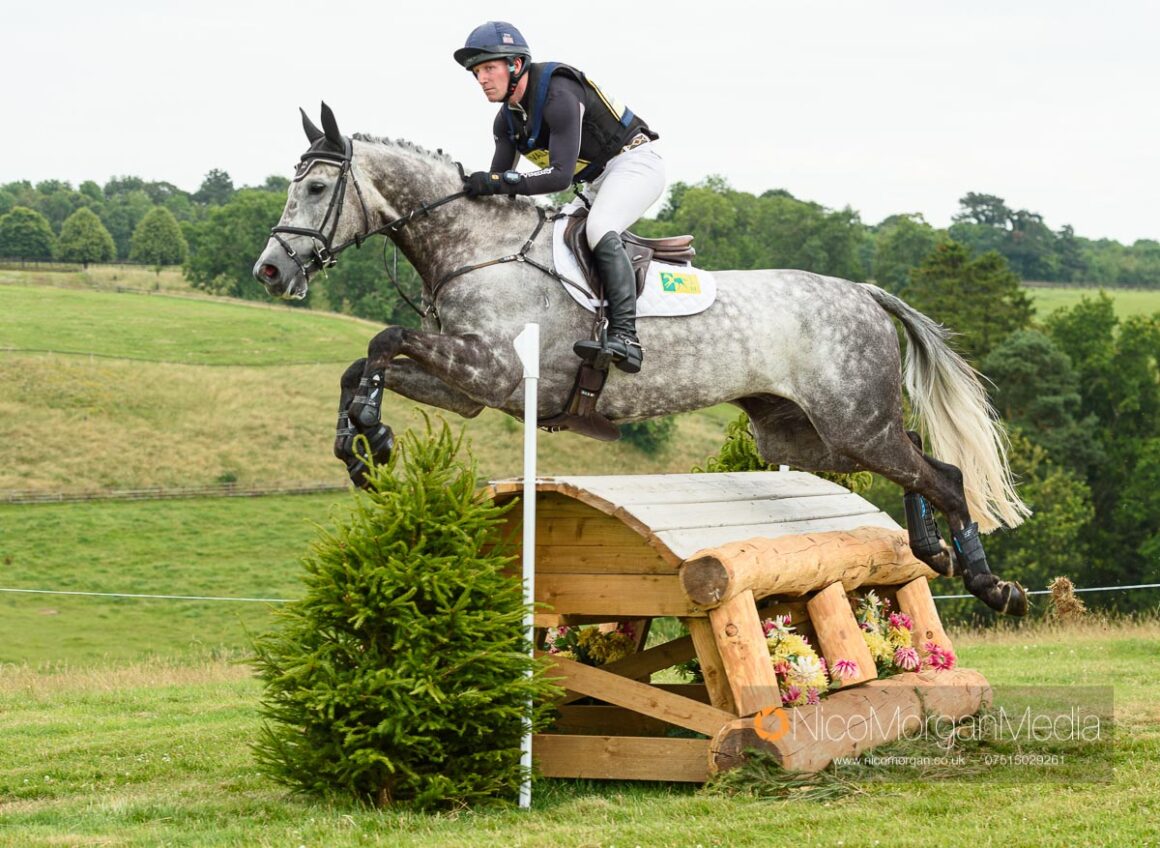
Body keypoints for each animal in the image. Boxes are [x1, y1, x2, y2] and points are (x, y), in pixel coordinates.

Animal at [254, 104, 1030, 616]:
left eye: (316, 189)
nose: (269, 271)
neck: (479, 248)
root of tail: (863, 291)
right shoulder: (469, 387)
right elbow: (365, 361)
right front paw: (361, 444)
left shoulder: (492, 369)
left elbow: (383, 341)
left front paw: (370, 436)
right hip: (802, 435)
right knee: (920, 457)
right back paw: (932, 552)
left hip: (849, 421)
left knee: (943, 473)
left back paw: (991, 585)